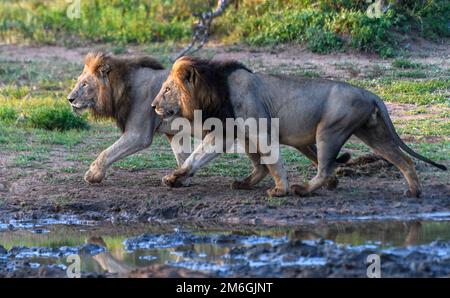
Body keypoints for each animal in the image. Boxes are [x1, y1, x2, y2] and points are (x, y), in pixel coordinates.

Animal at [152, 57, 446, 199]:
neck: (212, 90)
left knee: (326, 169)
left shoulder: (260, 130)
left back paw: (302, 190)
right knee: (404, 159)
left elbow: (272, 162)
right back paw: (414, 191)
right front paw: (174, 178)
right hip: (372, 134)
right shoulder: (228, 132)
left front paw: (279, 190)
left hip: (329, 131)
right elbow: (196, 157)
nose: (153, 105)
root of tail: (371, 94)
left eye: (166, 89)